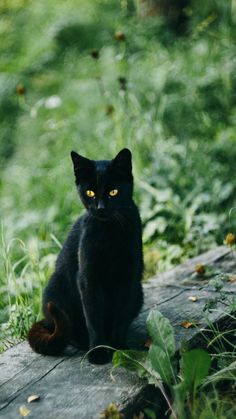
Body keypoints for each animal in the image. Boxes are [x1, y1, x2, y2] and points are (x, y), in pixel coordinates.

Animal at [28, 148, 143, 364]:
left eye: (113, 192)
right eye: (90, 192)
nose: (100, 208)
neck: (109, 233)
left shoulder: (128, 279)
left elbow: (121, 318)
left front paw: (119, 348)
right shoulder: (88, 278)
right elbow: (94, 318)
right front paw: (98, 351)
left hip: (139, 294)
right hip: (55, 291)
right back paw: (82, 342)